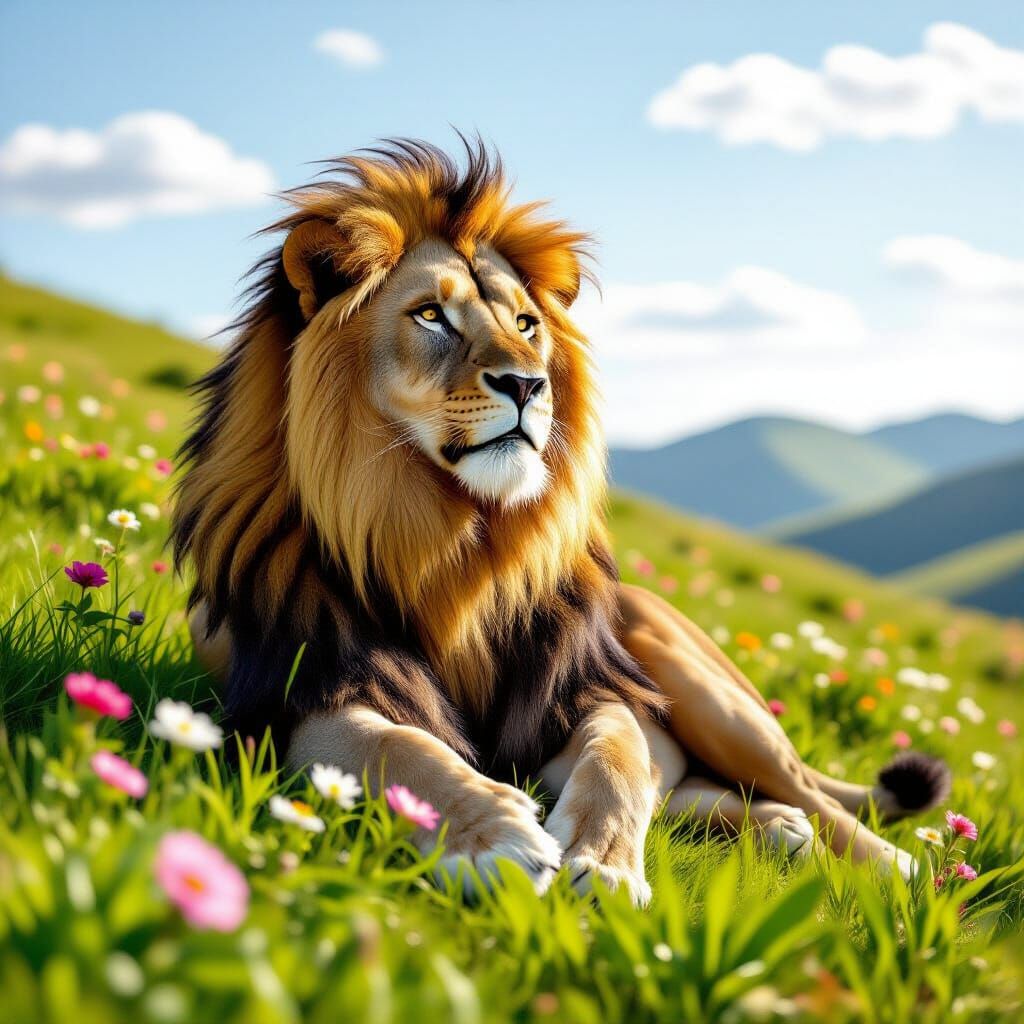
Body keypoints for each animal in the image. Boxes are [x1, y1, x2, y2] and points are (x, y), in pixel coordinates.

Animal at [173, 139, 949, 904]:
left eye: (526, 324)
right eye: (430, 316)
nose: (526, 384)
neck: (450, 542)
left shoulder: (586, 693)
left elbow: (619, 756)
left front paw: (603, 862)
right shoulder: (296, 699)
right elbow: (397, 746)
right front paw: (491, 835)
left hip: (705, 689)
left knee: (811, 796)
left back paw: (901, 869)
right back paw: (781, 832)